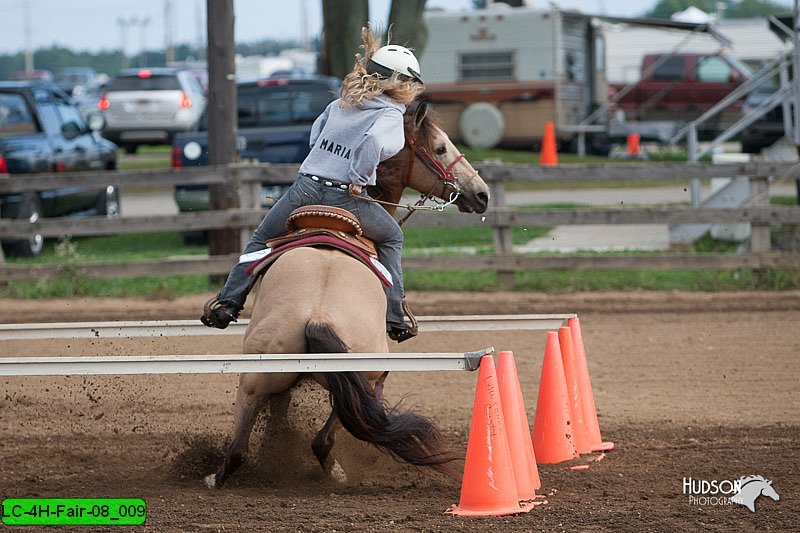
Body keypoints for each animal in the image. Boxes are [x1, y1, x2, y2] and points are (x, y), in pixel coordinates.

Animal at [205, 98, 494, 486]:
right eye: (440, 148)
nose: (481, 194)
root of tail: (317, 317)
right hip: (357, 379)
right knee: (316, 440)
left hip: (256, 382)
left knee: (245, 449)